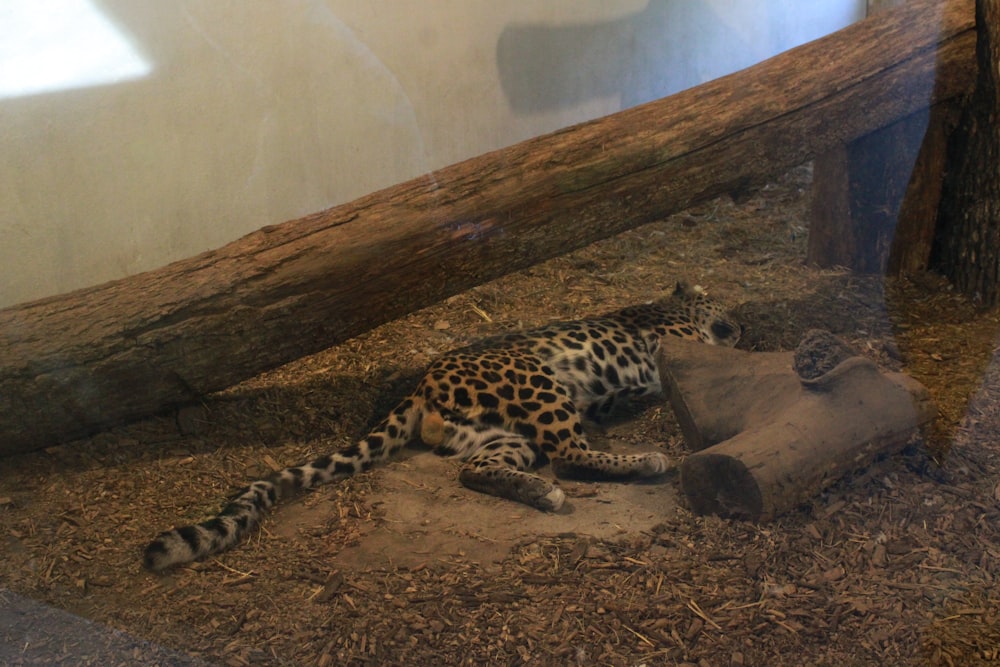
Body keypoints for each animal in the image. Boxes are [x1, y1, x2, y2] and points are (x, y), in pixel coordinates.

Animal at [146, 284, 744, 572]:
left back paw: (540, 492)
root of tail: (422, 382)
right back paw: (642, 463)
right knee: (569, 453)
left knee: (479, 469)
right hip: (539, 383)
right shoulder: (676, 343)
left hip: (503, 433)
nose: (737, 322)